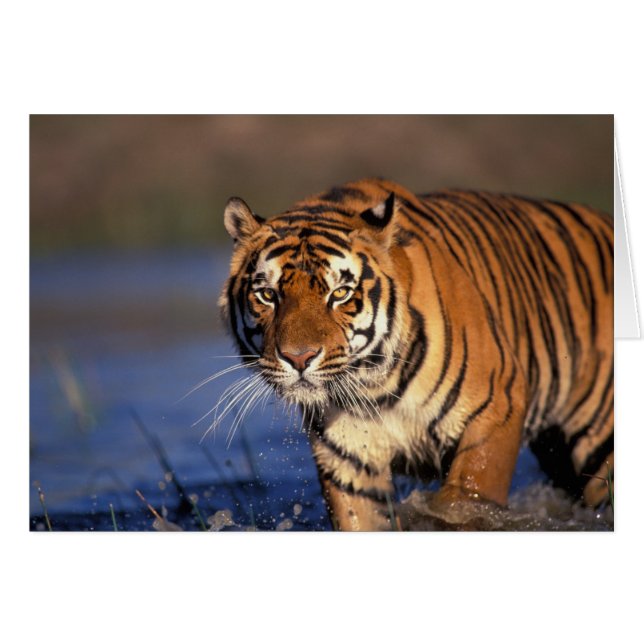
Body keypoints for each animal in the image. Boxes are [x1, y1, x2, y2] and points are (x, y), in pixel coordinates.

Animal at [219, 178, 613, 531]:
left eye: (340, 293)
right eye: (268, 295)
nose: (299, 358)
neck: (374, 387)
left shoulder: (496, 407)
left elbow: (464, 505)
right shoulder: (348, 455)